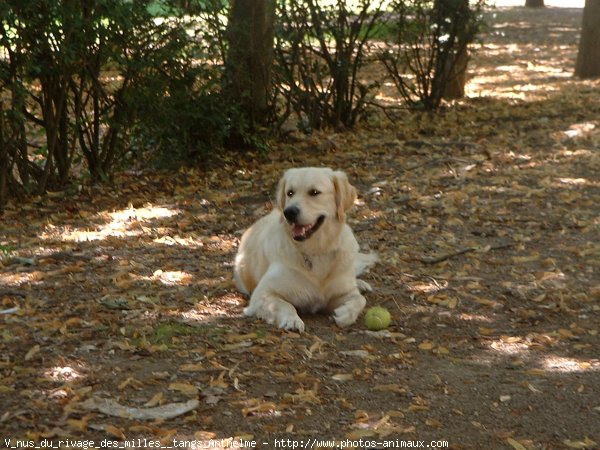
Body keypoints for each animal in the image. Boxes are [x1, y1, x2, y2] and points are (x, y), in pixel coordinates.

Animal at [233, 167, 376, 332]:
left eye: (314, 192)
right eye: (290, 193)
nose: (289, 212)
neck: (317, 250)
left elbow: (360, 299)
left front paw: (345, 313)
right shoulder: (262, 293)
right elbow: (284, 305)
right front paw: (291, 320)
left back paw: (361, 284)